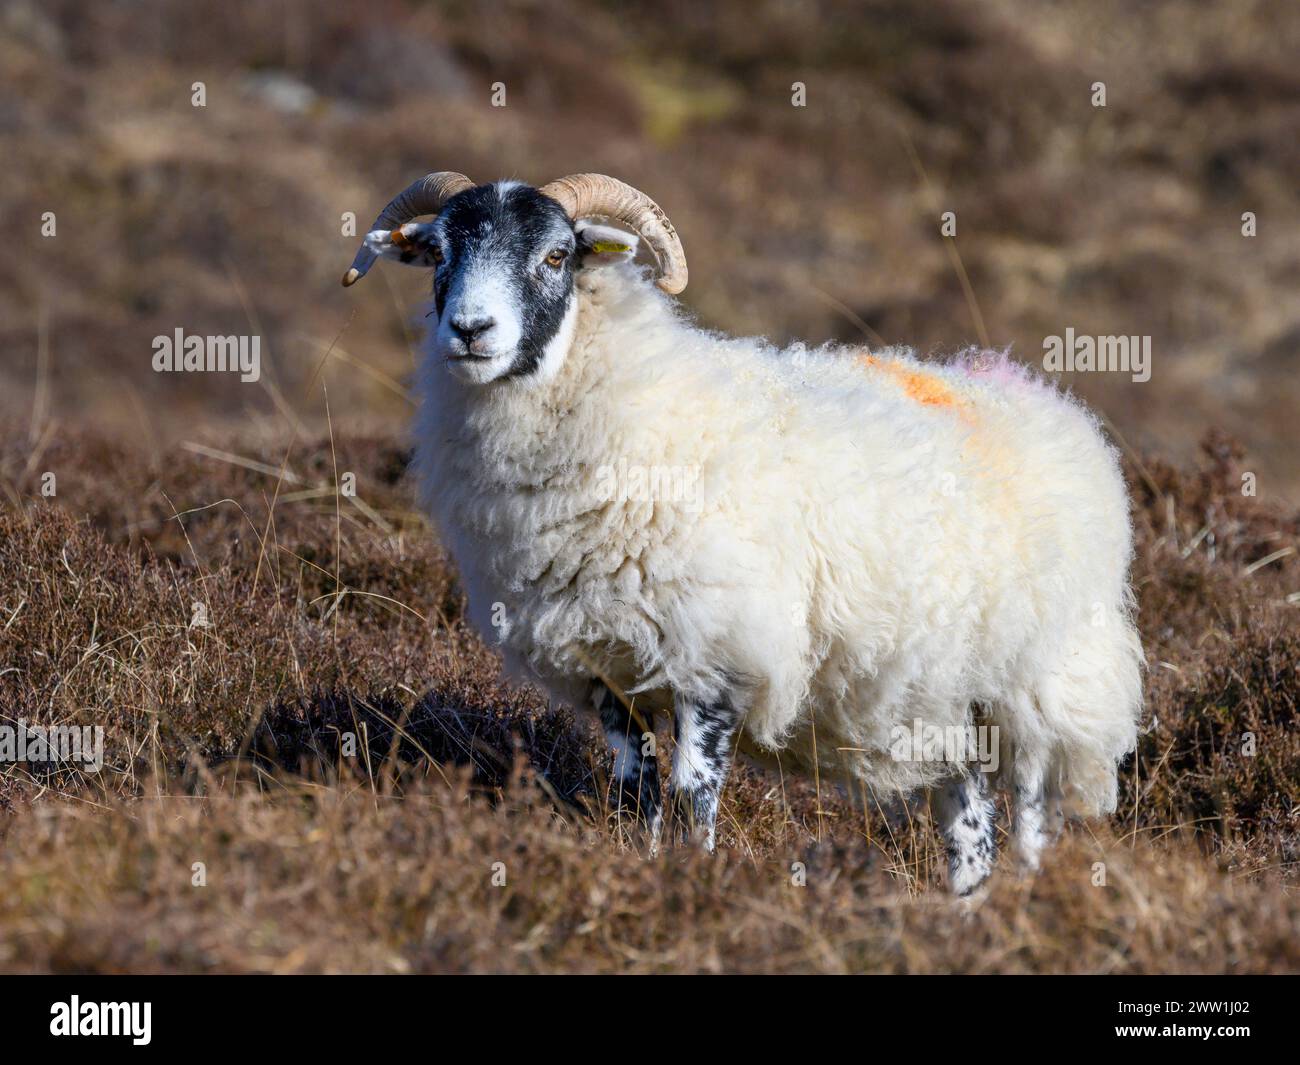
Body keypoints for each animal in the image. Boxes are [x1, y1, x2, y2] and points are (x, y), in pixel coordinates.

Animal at [343, 170, 1138, 894]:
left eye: (556, 255)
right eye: (440, 253)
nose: (470, 331)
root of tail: (1030, 391)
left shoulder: (716, 655)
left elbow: (694, 790)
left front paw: (697, 880)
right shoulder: (609, 665)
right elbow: (635, 787)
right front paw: (640, 867)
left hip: (1041, 681)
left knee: (1030, 807)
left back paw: (1020, 906)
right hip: (945, 699)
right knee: (968, 815)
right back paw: (966, 912)